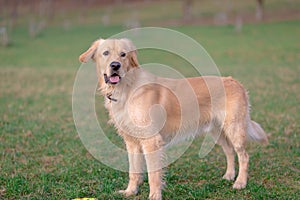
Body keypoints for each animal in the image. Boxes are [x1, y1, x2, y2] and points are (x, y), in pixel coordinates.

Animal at [78, 38, 268, 199]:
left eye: (123, 54)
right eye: (106, 53)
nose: (115, 65)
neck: (127, 87)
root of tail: (234, 81)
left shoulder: (151, 141)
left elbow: (153, 174)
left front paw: (154, 195)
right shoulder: (131, 141)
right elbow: (134, 171)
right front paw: (130, 191)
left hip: (234, 128)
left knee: (244, 155)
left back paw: (240, 182)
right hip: (217, 131)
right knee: (229, 151)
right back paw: (229, 175)